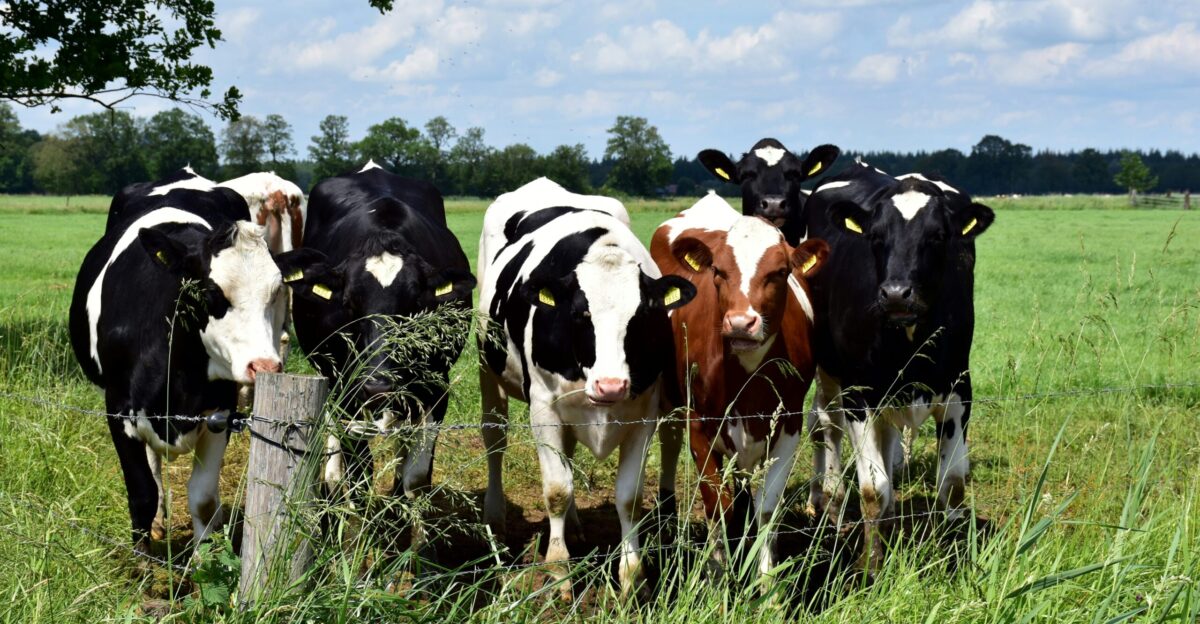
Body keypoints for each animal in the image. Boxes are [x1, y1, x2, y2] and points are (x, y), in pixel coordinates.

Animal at [69, 197, 287, 551]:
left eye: (276, 292)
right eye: (212, 292)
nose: (265, 366)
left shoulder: (221, 414)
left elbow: (203, 499)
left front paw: (202, 558)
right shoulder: (118, 410)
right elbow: (142, 493)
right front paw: (143, 560)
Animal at [273, 160, 476, 547]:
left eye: (413, 305)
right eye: (350, 304)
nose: (378, 384)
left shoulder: (436, 389)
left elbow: (414, 477)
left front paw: (412, 544)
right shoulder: (346, 388)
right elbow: (360, 470)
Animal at [477, 177, 697, 600]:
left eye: (642, 316)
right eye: (580, 314)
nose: (611, 386)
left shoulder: (643, 412)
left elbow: (628, 497)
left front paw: (632, 576)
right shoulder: (543, 408)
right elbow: (556, 490)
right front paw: (559, 571)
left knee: (569, 453)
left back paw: (576, 525)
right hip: (487, 367)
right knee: (494, 438)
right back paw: (495, 517)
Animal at [650, 192, 828, 590]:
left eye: (780, 272)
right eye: (718, 271)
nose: (741, 323)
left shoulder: (788, 425)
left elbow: (767, 506)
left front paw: (766, 582)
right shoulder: (699, 425)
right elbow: (716, 504)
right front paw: (719, 578)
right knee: (668, 440)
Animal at [801, 163, 994, 571]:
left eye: (938, 236)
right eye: (875, 237)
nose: (895, 294)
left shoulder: (959, 390)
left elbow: (952, 483)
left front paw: (954, 557)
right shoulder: (859, 394)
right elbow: (873, 489)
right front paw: (871, 566)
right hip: (829, 372)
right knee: (826, 423)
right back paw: (830, 501)